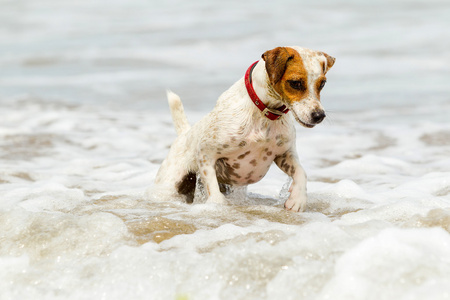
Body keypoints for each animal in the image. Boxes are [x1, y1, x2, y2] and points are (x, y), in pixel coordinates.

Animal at [154, 45, 334, 212]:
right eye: (295, 83)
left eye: (323, 84)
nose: (319, 115)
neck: (264, 113)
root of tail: (184, 134)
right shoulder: (205, 154)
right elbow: (212, 188)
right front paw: (217, 205)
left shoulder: (284, 155)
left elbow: (301, 172)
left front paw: (298, 199)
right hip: (169, 186)